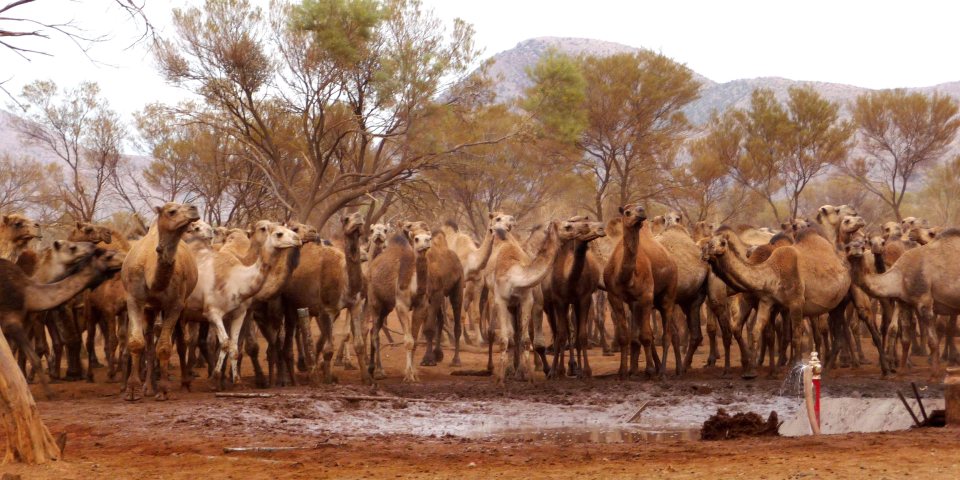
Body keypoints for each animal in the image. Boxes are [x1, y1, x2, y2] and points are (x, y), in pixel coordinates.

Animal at [121, 202, 202, 402]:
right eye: (171, 211)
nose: (194, 208)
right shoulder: (134, 300)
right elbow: (137, 343)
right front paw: (132, 390)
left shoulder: (175, 304)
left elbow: (165, 347)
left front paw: (164, 390)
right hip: (150, 310)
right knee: (150, 343)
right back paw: (149, 387)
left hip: (181, 306)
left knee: (181, 342)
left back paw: (184, 384)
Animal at [848, 232, 960, 378]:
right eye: (847, 246)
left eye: (862, 245)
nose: (857, 248)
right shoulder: (905, 303)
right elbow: (905, 339)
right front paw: (901, 370)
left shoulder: (924, 301)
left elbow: (932, 340)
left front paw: (934, 374)